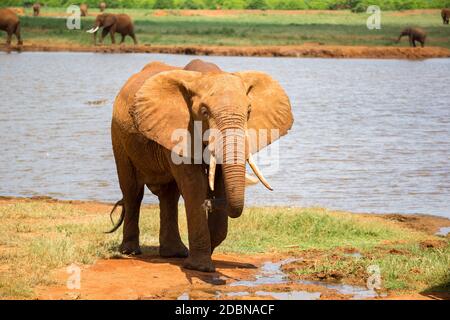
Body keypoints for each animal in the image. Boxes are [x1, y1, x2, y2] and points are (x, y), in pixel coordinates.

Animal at [107, 58, 294, 272]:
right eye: (204, 112)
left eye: (248, 111)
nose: (209, 203)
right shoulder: (180, 129)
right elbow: (194, 184)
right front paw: (201, 267)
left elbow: (219, 182)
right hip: (118, 136)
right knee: (132, 191)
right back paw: (130, 252)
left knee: (169, 195)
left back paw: (175, 253)